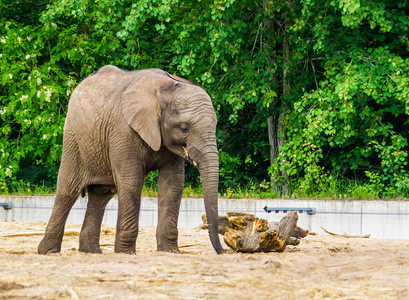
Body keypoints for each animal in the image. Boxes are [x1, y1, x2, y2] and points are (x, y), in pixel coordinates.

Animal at [37, 65, 223, 253]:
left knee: (101, 195)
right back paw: (48, 252)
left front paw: (170, 251)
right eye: (184, 129)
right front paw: (126, 253)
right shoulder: (123, 130)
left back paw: (92, 252)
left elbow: (173, 183)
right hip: (73, 138)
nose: (222, 251)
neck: (167, 88)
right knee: (68, 190)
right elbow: (131, 181)